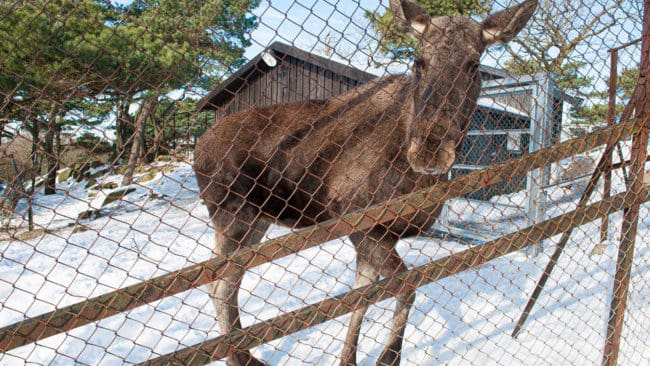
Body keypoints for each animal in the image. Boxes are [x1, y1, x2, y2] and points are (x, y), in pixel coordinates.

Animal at [192, 1, 536, 364]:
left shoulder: (383, 235)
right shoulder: (362, 225)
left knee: (224, 285)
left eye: (474, 64)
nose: (429, 150)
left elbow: (372, 294)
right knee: (220, 286)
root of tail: (198, 147)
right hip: (233, 217)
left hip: (257, 221)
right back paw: (240, 357)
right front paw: (382, 356)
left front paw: (360, 357)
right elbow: (398, 289)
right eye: (419, 61)